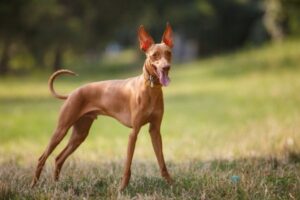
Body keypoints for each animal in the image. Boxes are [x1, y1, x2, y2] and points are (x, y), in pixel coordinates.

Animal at [30, 23, 173, 191]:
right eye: (154, 55)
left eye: (168, 53)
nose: (166, 67)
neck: (150, 88)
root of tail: (72, 93)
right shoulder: (133, 133)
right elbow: (128, 165)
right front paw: (122, 188)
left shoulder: (155, 131)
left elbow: (162, 162)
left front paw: (171, 184)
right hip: (61, 130)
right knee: (42, 158)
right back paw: (33, 185)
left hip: (80, 134)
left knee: (59, 158)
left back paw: (57, 185)